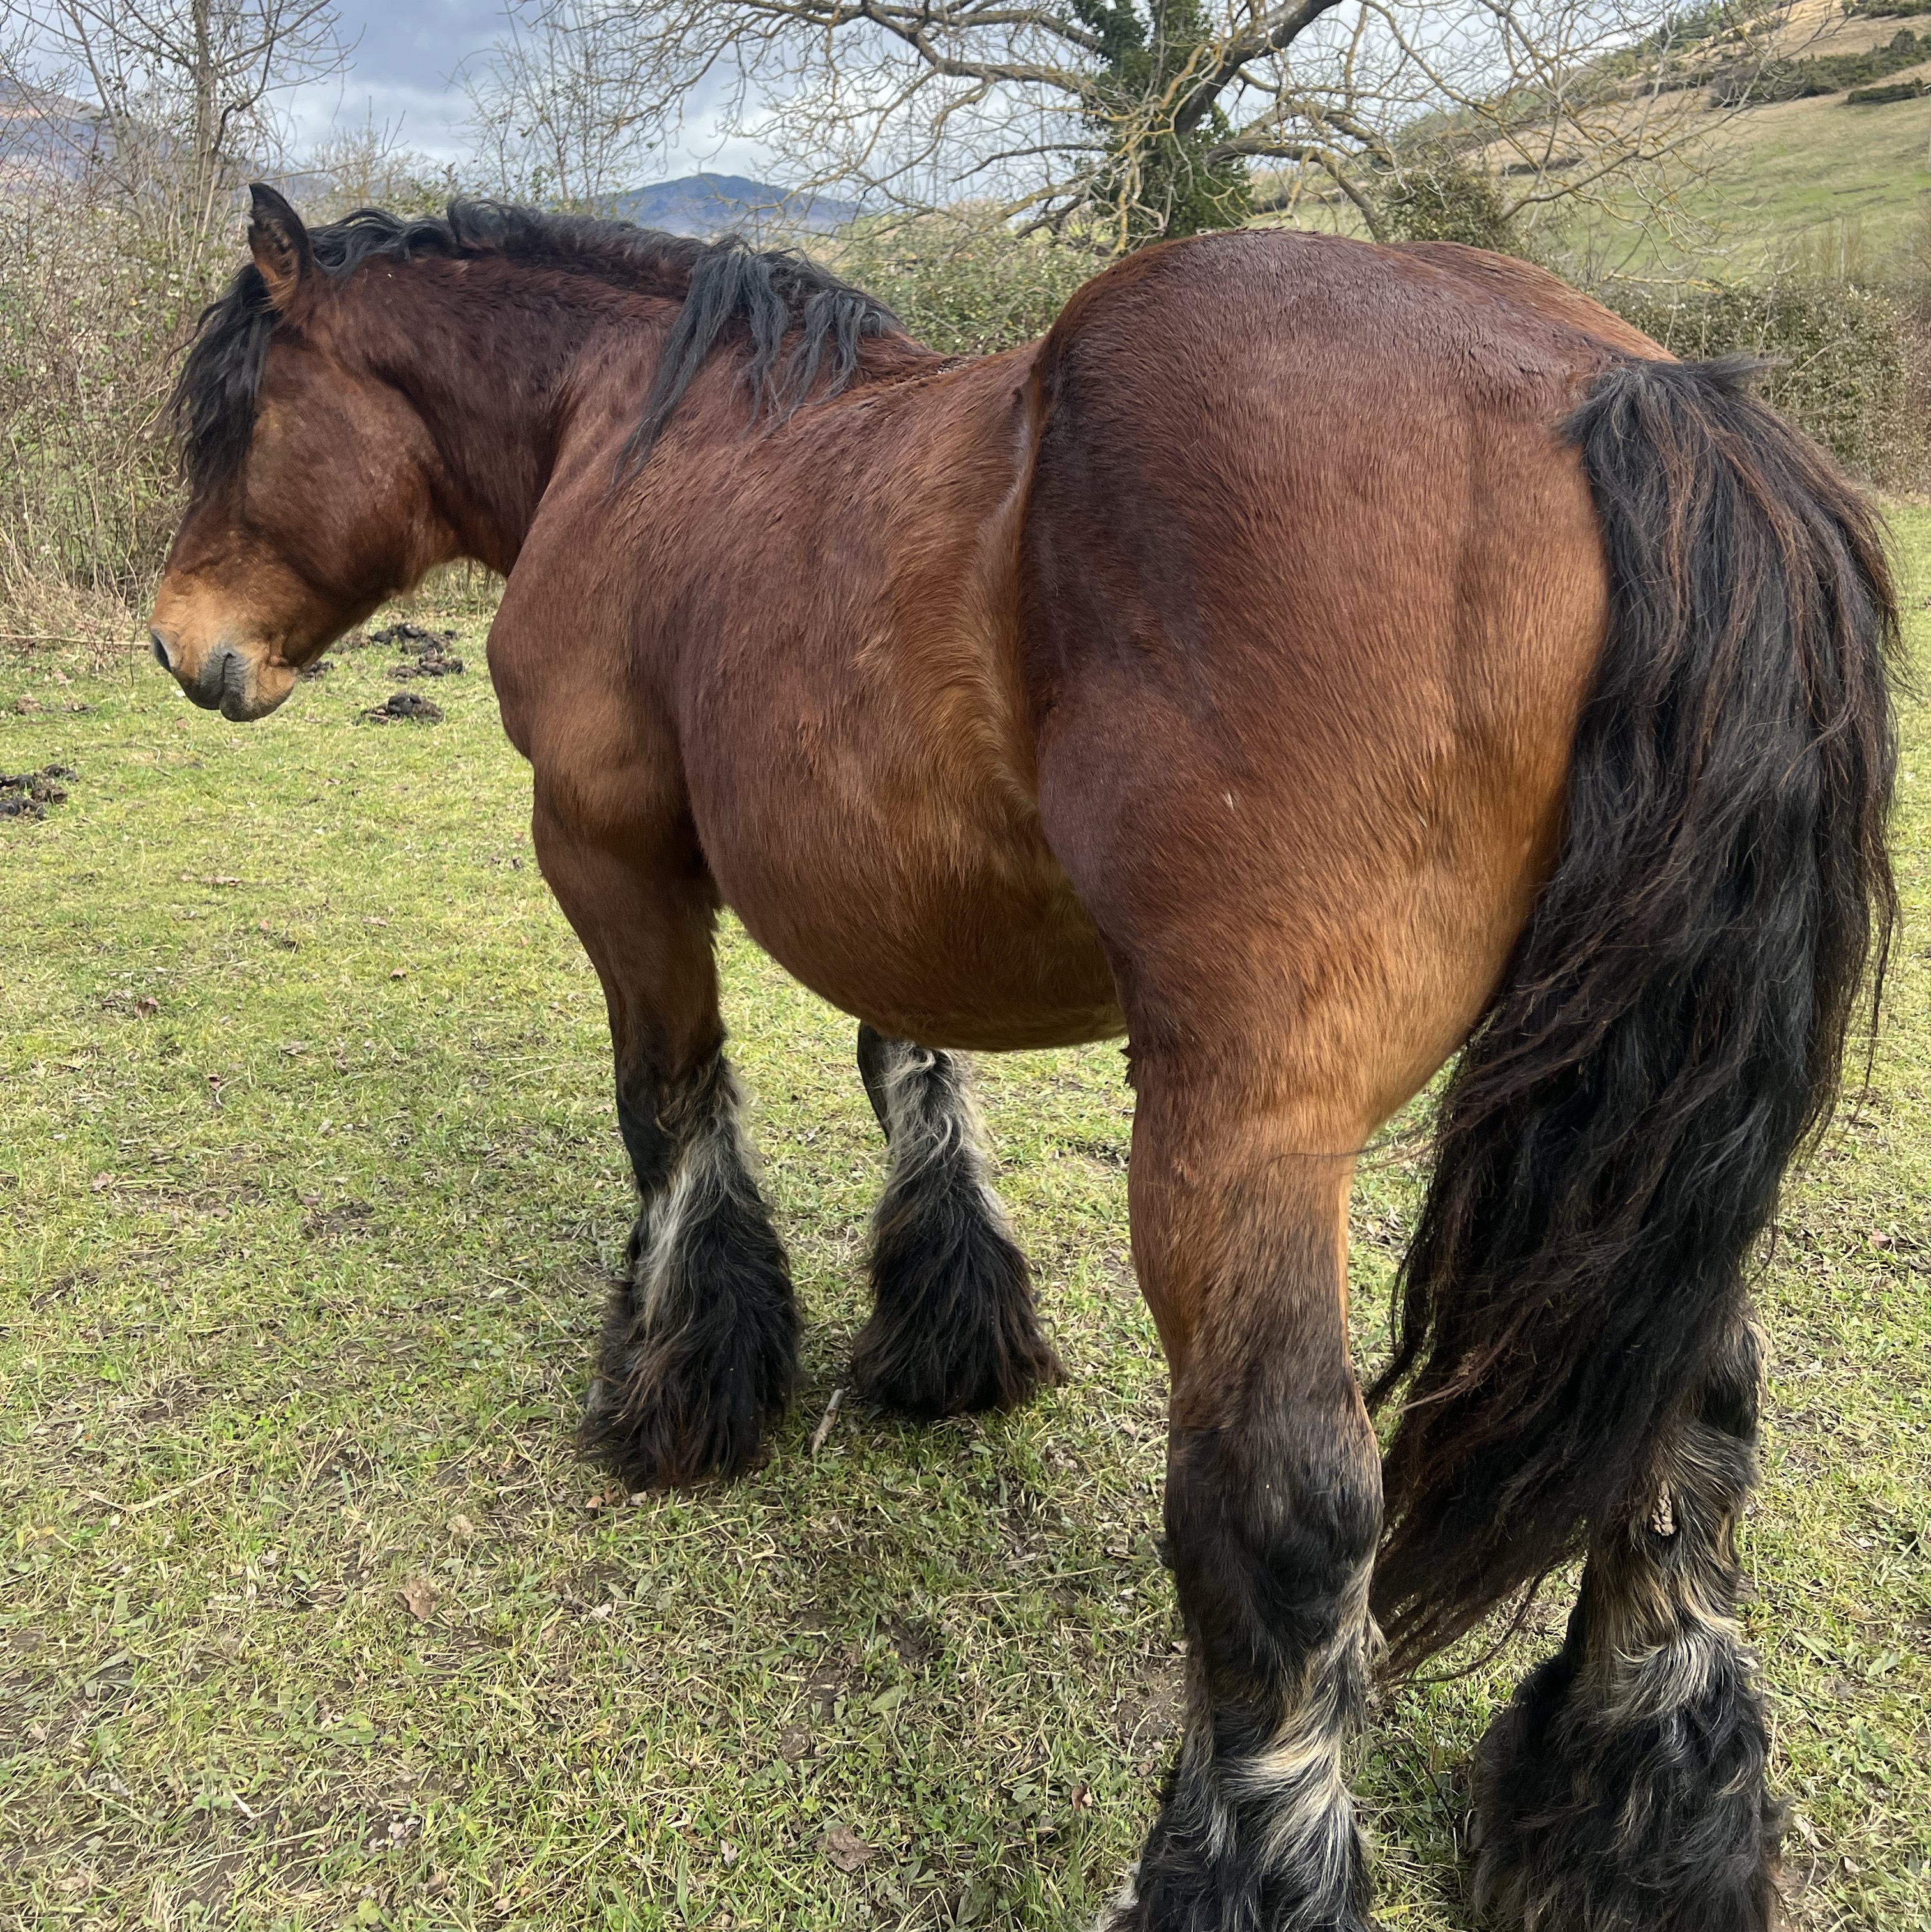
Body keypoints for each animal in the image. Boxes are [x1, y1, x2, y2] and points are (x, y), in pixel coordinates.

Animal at [150, 183, 1897, 1932]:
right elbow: (915, 1078)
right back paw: (1637, 1830)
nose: (180, 646)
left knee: (1292, 1515)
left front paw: (677, 1384)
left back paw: (1234, 1870)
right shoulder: (896, 902)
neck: (637, 432)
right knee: (1693, 1432)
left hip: (1248, 1133)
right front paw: (948, 1338)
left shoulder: (608, 862)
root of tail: (1621, 390)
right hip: (1637, 1138)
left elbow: (670, 1113)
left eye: (233, 418)